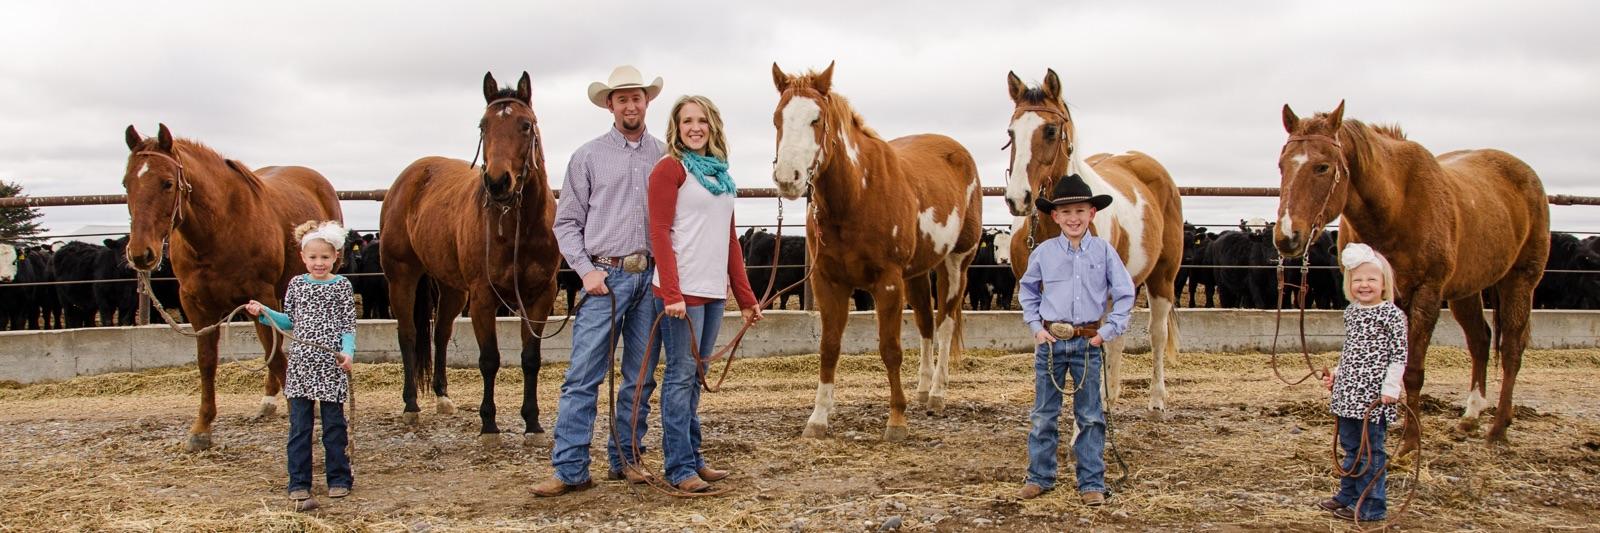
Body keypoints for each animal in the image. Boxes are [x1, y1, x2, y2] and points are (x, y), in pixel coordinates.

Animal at [120, 123, 340, 448]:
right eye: (126, 184)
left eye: (167, 183)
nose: (140, 254)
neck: (219, 229)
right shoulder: (196, 305)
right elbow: (207, 362)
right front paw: (201, 429)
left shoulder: (260, 295)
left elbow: (274, 356)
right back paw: (267, 402)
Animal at [377, 71, 560, 444]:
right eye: (483, 125)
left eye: (525, 125)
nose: (498, 182)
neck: (518, 227)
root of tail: (410, 176)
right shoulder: (482, 297)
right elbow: (489, 359)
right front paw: (489, 424)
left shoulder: (540, 296)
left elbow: (531, 358)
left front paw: (533, 423)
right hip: (402, 277)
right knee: (407, 334)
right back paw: (411, 405)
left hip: (451, 289)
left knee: (440, 334)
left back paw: (442, 397)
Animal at [768, 62, 979, 438]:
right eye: (778, 118)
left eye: (816, 119)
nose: (788, 178)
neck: (856, 195)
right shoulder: (828, 282)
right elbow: (829, 347)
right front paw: (818, 419)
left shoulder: (888, 282)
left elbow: (890, 349)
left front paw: (896, 420)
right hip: (919, 273)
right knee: (926, 324)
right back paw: (923, 390)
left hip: (956, 264)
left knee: (945, 325)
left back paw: (937, 394)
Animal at [998, 69, 1190, 409]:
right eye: (1011, 132)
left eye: (1050, 130)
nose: (1018, 198)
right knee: (1117, 338)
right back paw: (1110, 394)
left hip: (1163, 278)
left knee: (1156, 334)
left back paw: (1156, 399)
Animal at [1273, 100, 1548, 451]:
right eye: (1282, 165)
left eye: (1322, 167)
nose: (1287, 237)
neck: (1394, 207)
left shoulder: (1427, 293)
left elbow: (1413, 370)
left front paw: (1409, 443)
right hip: (1466, 291)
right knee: (1480, 341)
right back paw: (1471, 417)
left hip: (1520, 279)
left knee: (1512, 346)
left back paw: (1498, 428)